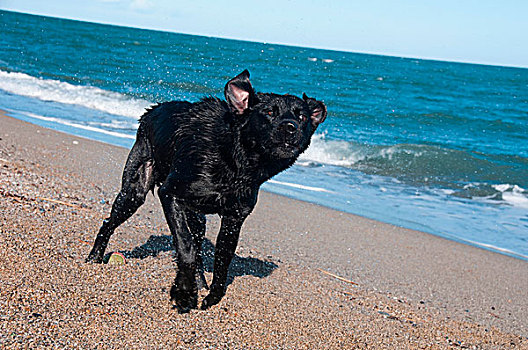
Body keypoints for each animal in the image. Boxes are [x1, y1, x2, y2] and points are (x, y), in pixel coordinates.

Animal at [86, 69, 326, 310]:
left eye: (302, 117)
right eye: (269, 112)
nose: (290, 127)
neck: (236, 160)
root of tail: (150, 111)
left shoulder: (234, 218)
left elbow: (222, 260)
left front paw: (212, 296)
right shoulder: (170, 194)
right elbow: (186, 246)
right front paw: (184, 292)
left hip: (196, 217)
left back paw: (200, 282)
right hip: (134, 193)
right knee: (109, 223)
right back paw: (94, 257)